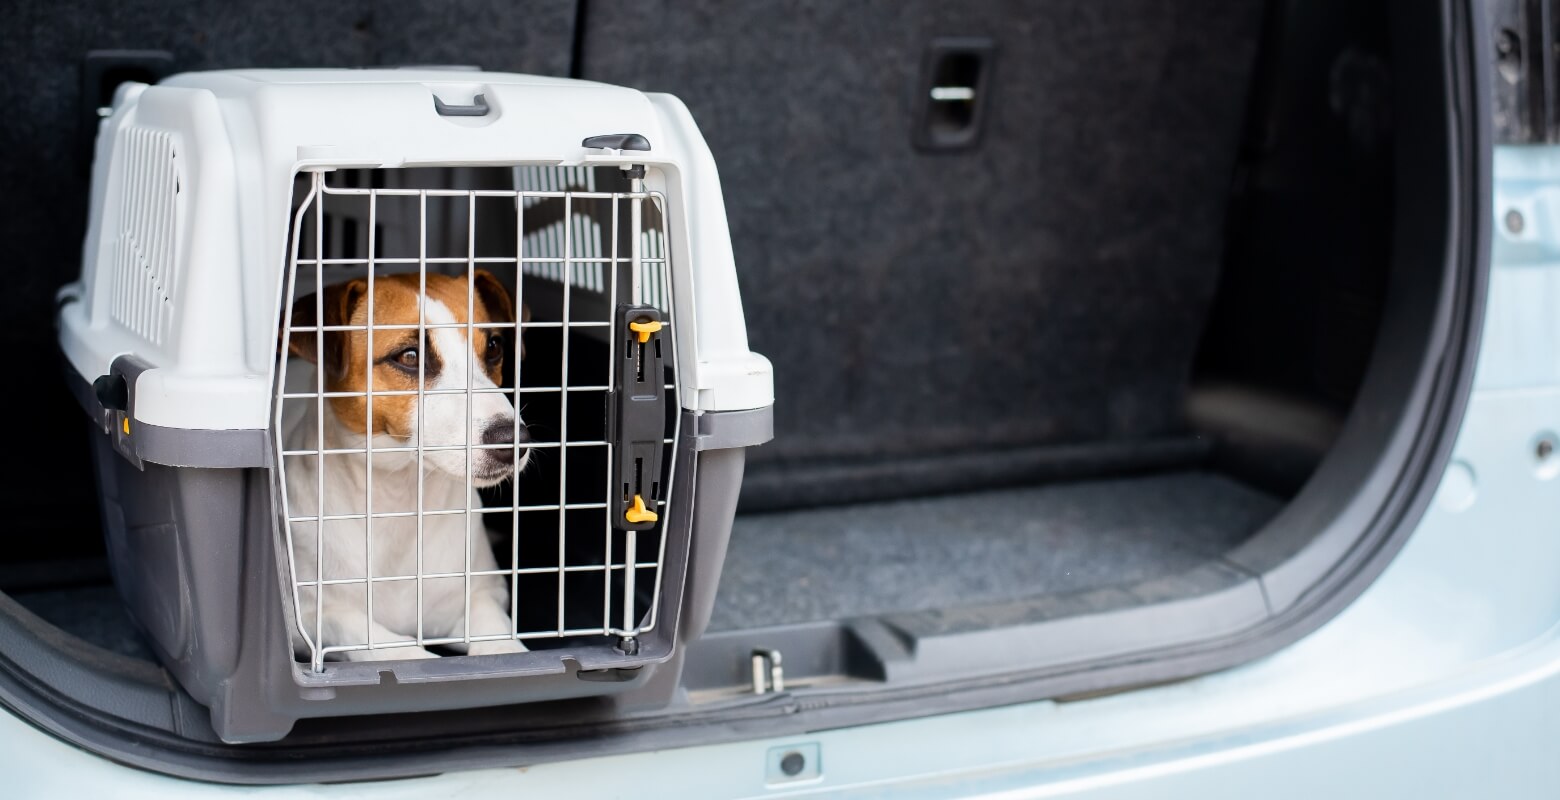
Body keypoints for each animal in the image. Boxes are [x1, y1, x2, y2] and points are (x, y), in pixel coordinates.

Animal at [277, 271, 527, 658]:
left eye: (494, 347)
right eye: (410, 356)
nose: (513, 440)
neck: (401, 500)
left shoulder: (481, 596)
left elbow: (497, 635)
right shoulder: (308, 618)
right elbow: (378, 639)